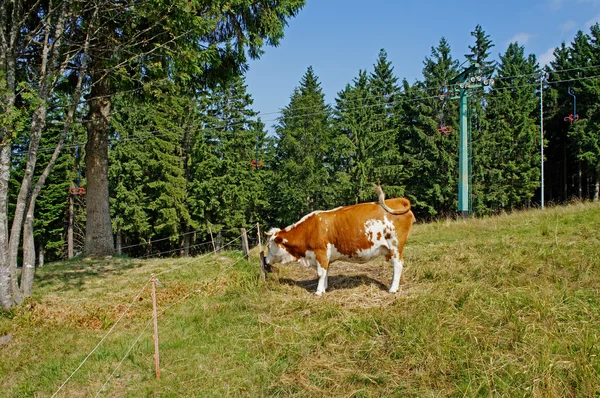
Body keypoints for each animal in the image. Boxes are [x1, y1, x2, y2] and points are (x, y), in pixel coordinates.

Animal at [264, 185, 414, 294]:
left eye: (268, 246)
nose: (265, 260)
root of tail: (398, 200)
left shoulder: (321, 252)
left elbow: (320, 273)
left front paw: (318, 292)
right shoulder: (325, 257)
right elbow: (325, 272)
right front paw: (324, 288)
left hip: (395, 246)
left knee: (398, 265)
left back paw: (392, 289)